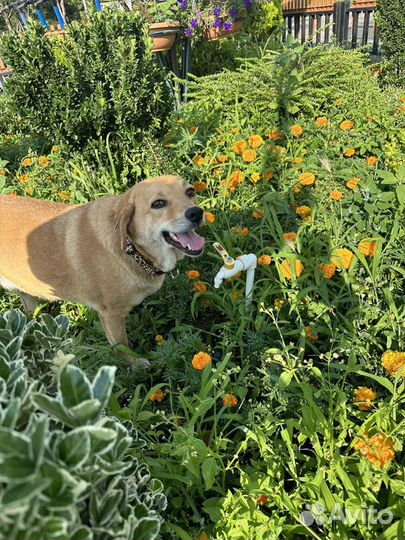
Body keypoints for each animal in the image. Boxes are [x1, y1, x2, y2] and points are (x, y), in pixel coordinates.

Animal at [0, 176, 205, 368]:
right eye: (158, 203)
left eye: (190, 192)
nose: (196, 213)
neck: (130, 249)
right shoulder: (111, 315)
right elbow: (122, 347)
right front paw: (136, 366)